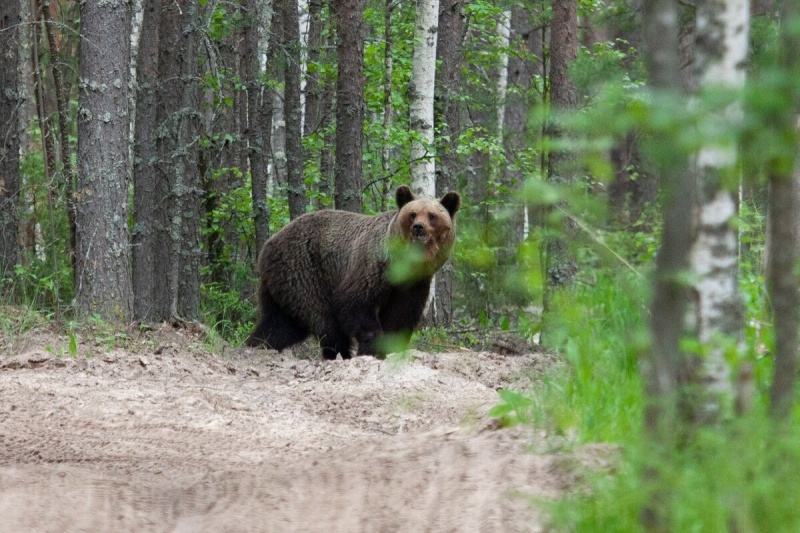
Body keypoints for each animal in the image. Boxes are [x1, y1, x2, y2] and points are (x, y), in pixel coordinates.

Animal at [247, 185, 462, 360]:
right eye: (413, 214)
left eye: (432, 215)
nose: (418, 227)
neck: (405, 265)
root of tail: (267, 246)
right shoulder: (372, 267)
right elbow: (356, 303)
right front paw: (372, 349)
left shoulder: (413, 283)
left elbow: (401, 316)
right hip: (304, 272)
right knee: (324, 321)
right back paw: (340, 354)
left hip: (282, 286)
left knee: (280, 324)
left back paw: (256, 345)